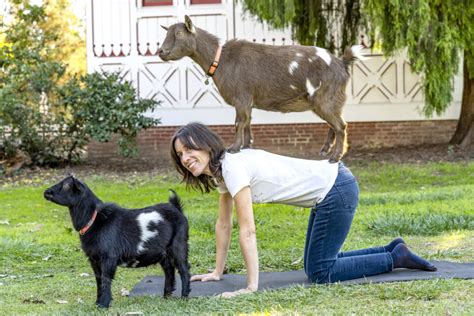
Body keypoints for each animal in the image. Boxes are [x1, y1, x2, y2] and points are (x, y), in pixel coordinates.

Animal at [44, 174, 191, 308]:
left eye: (67, 185)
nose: (46, 192)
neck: (94, 219)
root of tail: (176, 208)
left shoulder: (108, 257)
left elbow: (106, 278)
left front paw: (103, 305)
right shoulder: (94, 259)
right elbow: (98, 279)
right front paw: (97, 302)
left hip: (179, 244)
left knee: (184, 269)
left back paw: (184, 297)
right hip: (164, 253)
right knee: (169, 270)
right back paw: (166, 297)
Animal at [157, 15, 364, 162]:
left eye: (179, 34)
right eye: (166, 33)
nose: (161, 52)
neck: (221, 59)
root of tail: (341, 63)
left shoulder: (241, 97)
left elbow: (239, 122)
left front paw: (233, 148)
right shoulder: (248, 100)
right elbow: (248, 122)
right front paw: (247, 146)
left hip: (325, 97)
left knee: (341, 126)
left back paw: (334, 157)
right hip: (328, 101)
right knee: (335, 124)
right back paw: (324, 150)